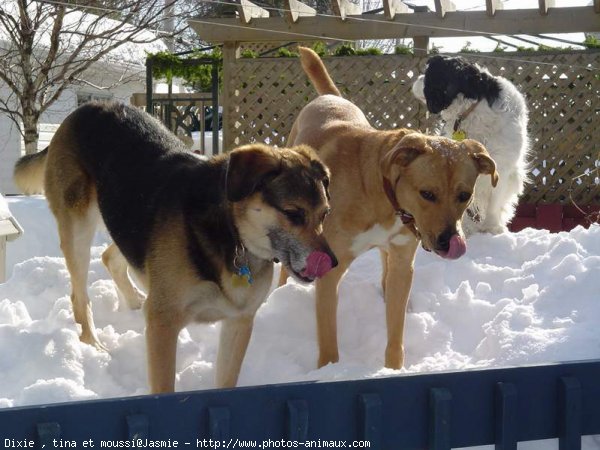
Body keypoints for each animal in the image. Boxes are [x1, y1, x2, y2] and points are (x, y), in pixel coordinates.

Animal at [412, 56, 528, 236]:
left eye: (428, 74)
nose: (417, 78)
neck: (471, 109)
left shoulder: (502, 166)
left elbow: (495, 201)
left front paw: (491, 228)